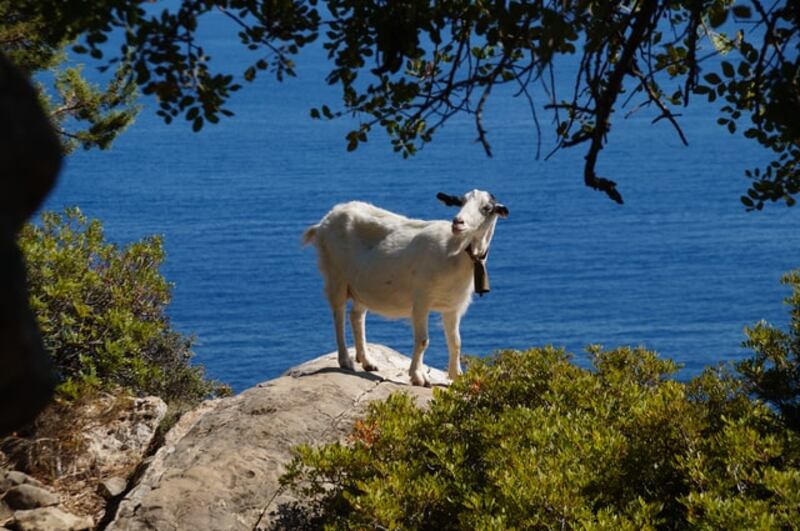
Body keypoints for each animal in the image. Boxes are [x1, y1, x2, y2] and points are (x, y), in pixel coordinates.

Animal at [303, 190, 508, 386]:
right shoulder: (421, 300)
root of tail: (323, 222)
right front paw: (418, 376)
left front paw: (457, 377)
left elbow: (456, 342)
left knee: (356, 316)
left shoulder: (453, 306)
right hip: (336, 275)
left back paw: (367, 361)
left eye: (486, 208)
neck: (455, 252)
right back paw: (345, 360)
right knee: (338, 315)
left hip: (363, 286)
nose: (458, 222)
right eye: (461, 202)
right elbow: (423, 340)